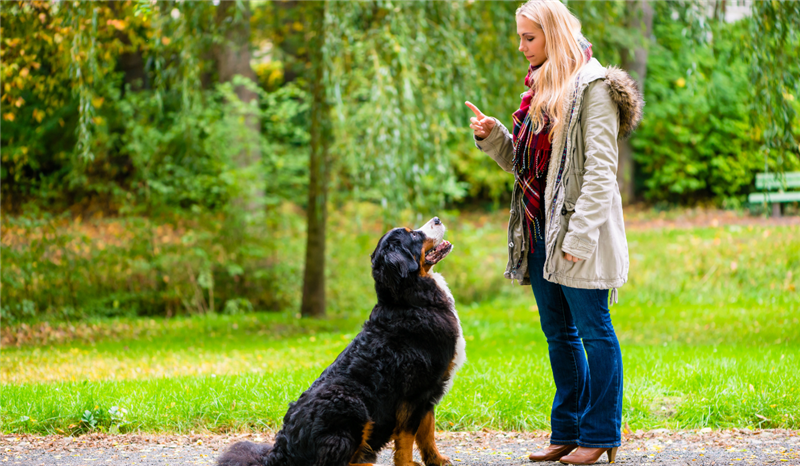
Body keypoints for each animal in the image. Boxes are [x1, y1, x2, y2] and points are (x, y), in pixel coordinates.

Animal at [219, 218, 466, 466]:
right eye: (413, 235)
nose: (437, 219)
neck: (410, 301)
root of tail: (280, 451)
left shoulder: (429, 392)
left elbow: (427, 433)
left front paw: (436, 460)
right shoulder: (414, 393)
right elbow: (407, 438)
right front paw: (408, 464)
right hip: (350, 403)